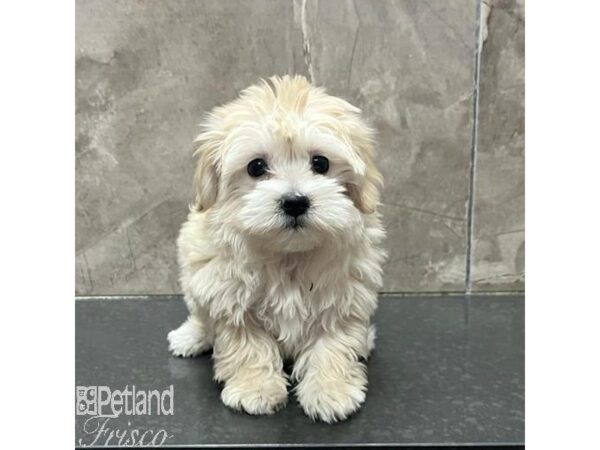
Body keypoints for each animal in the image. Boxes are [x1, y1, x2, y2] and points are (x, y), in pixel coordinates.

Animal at [168, 75, 384, 424]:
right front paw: (255, 389)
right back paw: (191, 336)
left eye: (320, 163)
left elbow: (332, 345)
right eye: (256, 167)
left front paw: (330, 390)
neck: (288, 254)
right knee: (201, 316)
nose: (295, 202)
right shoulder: (231, 300)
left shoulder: (343, 298)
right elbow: (248, 347)